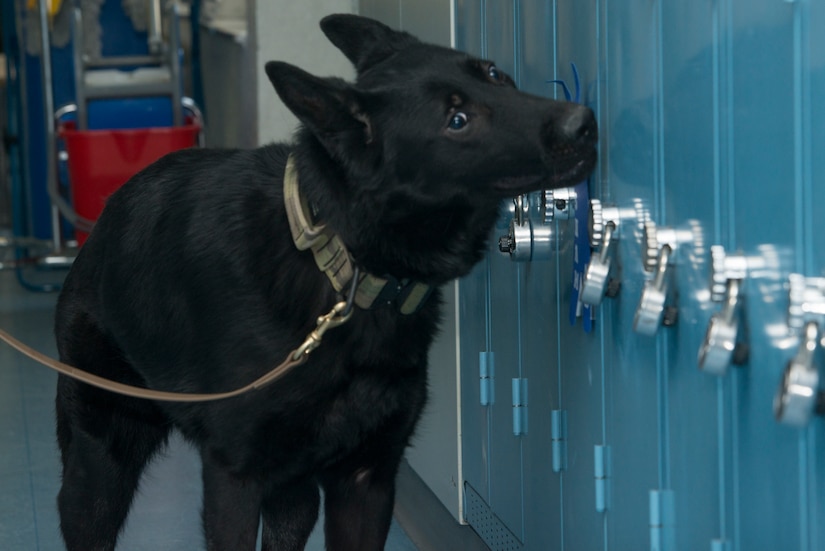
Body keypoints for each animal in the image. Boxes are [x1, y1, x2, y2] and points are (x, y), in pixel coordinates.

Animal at [53, 12, 592, 551]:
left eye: (496, 74)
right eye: (456, 121)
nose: (584, 121)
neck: (344, 267)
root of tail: (101, 224)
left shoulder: (366, 482)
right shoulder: (234, 480)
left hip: (294, 499)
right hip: (99, 475)